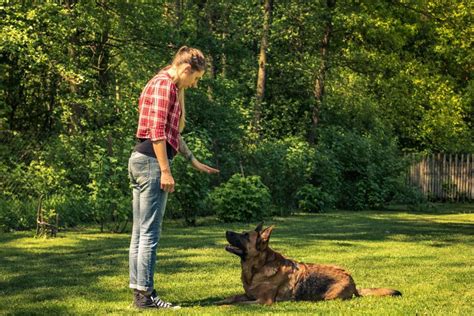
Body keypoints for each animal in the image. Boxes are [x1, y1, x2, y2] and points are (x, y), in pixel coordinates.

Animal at [218, 223, 400, 304]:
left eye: (245, 235)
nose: (226, 231)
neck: (258, 268)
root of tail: (353, 282)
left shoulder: (262, 301)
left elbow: (240, 303)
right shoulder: (248, 294)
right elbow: (233, 297)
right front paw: (219, 302)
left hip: (328, 297)